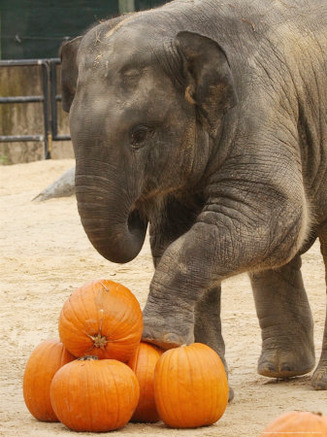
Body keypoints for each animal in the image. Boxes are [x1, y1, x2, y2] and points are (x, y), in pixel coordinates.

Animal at [60, 0, 327, 396]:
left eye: (139, 134)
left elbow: (273, 214)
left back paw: (315, 380)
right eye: (72, 137)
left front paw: (159, 338)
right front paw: (212, 381)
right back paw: (282, 370)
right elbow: (174, 236)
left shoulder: (260, 108)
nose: (137, 210)